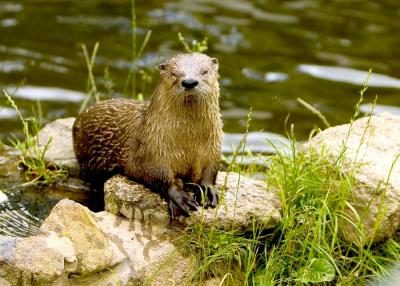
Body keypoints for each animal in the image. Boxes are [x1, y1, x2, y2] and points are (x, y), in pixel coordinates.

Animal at [72, 52, 222, 218]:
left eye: (205, 71)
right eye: (174, 74)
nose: (189, 82)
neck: (188, 143)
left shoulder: (212, 148)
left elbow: (210, 171)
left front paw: (208, 191)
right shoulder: (151, 150)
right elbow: (158, 175)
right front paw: (179, 198)